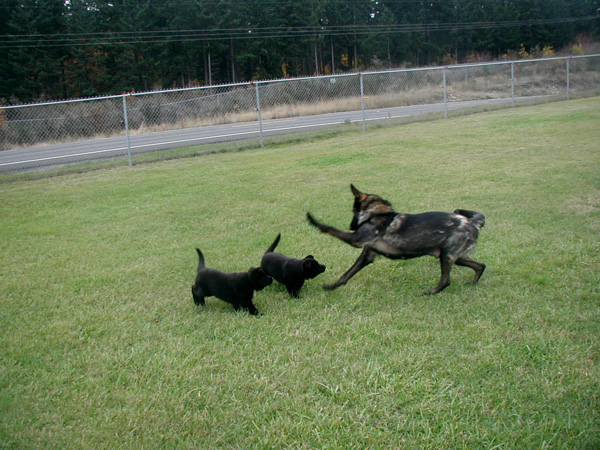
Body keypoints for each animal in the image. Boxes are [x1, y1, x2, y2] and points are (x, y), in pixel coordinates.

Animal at [308, 184, 486, 296]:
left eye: (354, 210)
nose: (351, 226)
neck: (378, 213)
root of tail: (472, 223)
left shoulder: (356, 239)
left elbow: (331, 229)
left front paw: (314, 221)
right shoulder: (367, 255)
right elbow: (347, 274)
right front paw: (332, 286)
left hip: (447, 255)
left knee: (446, 280)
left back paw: (429, 293)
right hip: (454, 257)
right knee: (481, 265)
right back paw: (473, 283)